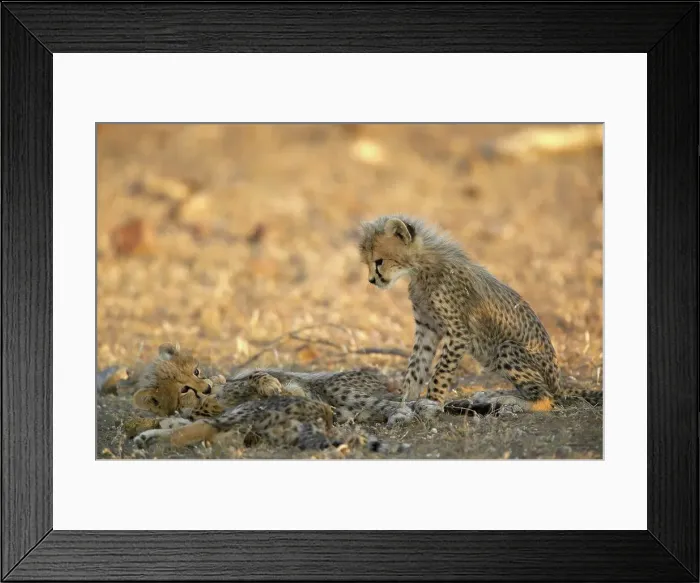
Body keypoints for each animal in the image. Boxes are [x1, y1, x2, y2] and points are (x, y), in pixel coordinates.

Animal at [358, 214, 603, 414]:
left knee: (547, 399)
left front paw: (432, 402)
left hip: (507, 348)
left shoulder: (458, 333)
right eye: (368, 263)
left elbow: (440, 373)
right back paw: (493, 395)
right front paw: (404, 400)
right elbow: (416, 366)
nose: (371, 280)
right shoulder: (427, 328)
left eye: (379, 261)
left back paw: (509, 403)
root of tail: (559, 384)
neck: (421, 269)